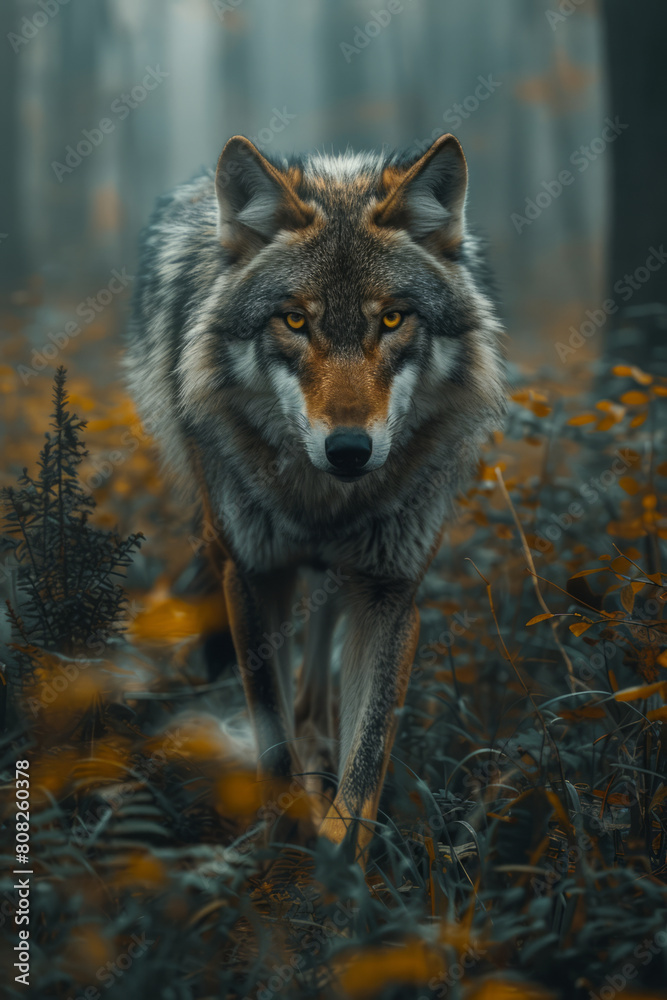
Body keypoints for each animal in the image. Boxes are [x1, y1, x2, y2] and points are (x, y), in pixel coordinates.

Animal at [125, 132, 506, 857]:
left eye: (392, 319)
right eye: (295, 320)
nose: (349, 450)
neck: (323, 504)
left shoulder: (390, 589)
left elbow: (365, 764)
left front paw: (336, 858)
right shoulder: (251, 574)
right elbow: (271, 741)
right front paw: (282, 848)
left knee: (318, 689)